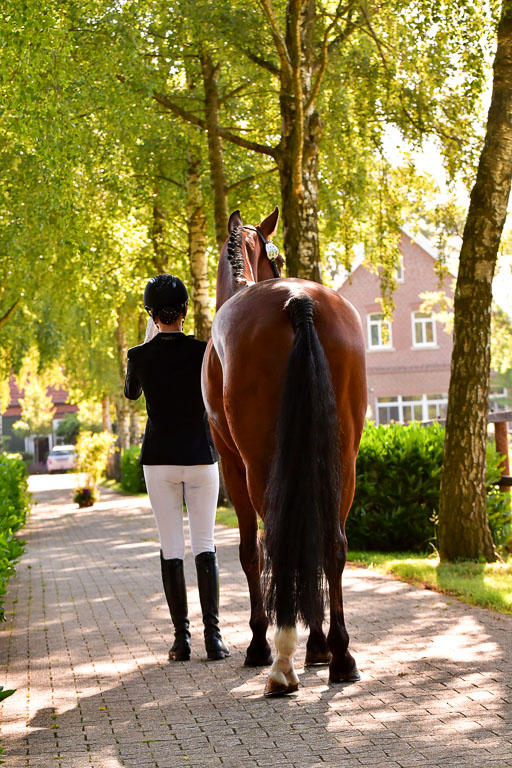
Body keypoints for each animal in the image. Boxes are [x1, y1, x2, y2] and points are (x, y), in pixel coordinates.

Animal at [201, 207, 367, 696]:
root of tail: (297, 299)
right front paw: (320, 647)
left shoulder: (231, 464)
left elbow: (249, 550)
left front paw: (260, 644)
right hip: (343, 459)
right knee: (332, 543)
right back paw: (340, 656)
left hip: (259, 464)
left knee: (275, 542)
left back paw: (280, 663)